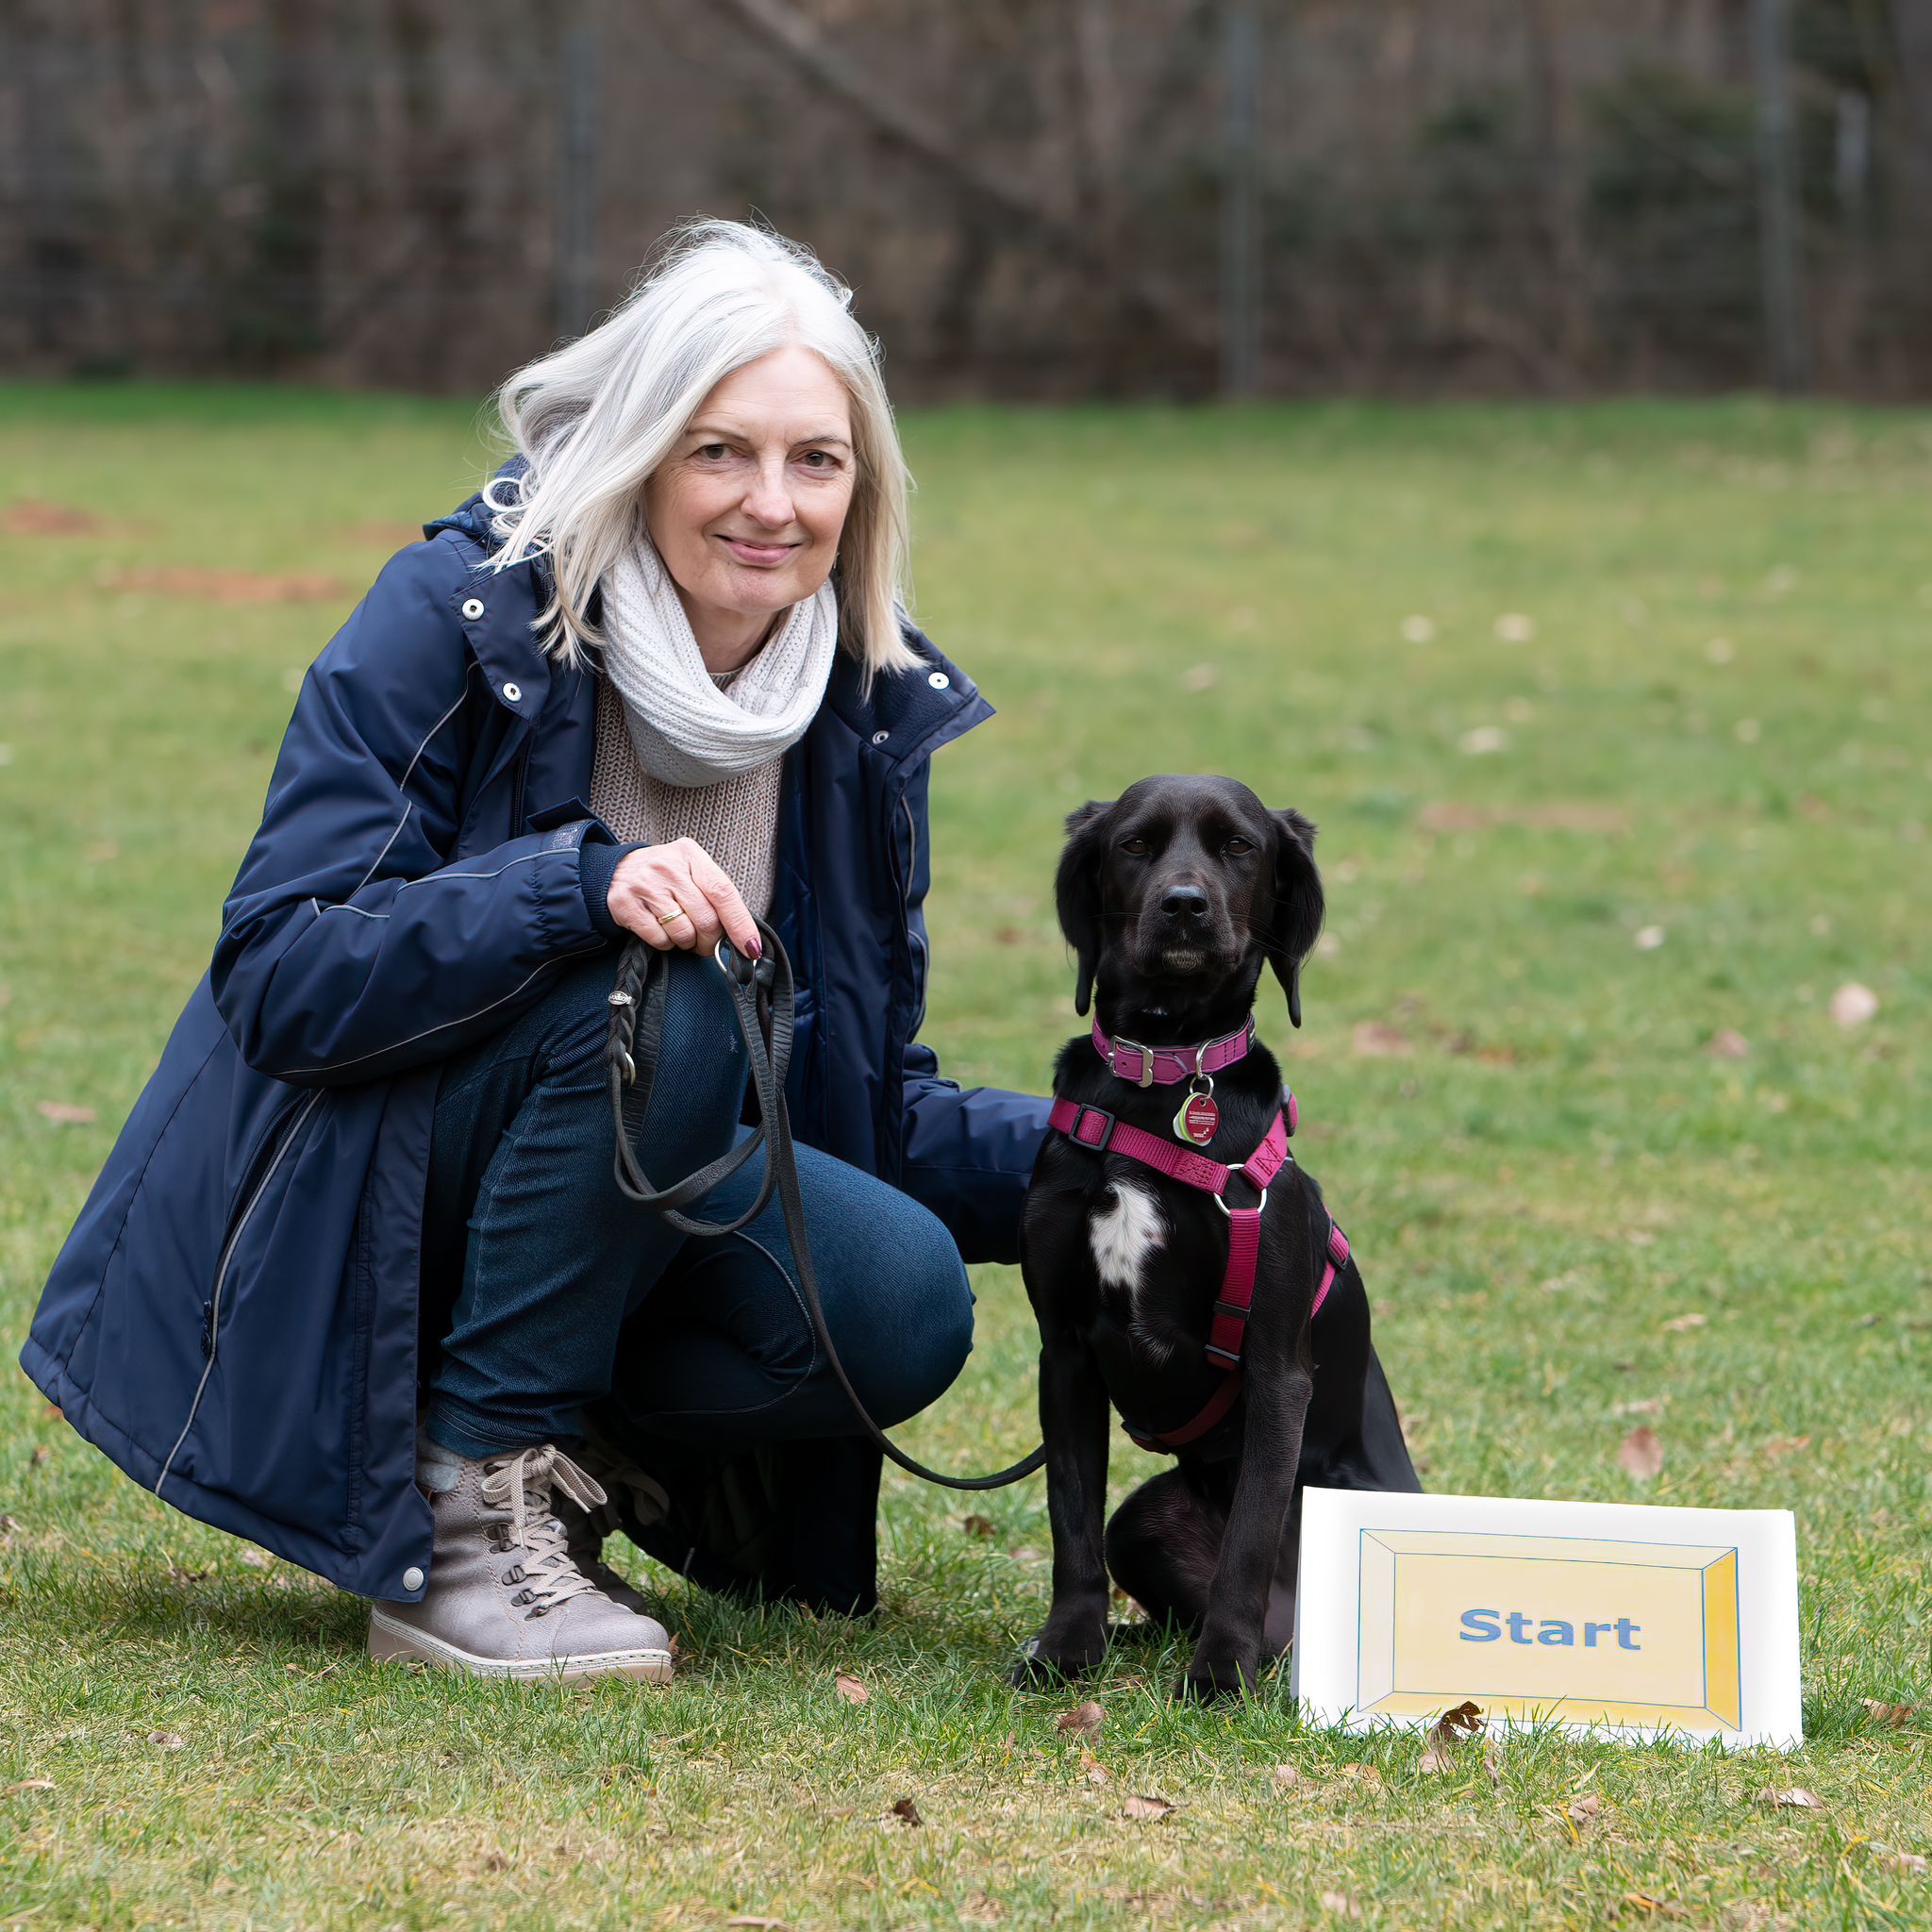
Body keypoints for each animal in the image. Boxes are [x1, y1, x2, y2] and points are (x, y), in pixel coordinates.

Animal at [1012, 776, 1422, 1700]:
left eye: (1239, 846)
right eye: (1134, 844)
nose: (1184, 906)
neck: (1163, 1079)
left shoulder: (1277, 1373)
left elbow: (1249, 1541)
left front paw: (1217, 1679)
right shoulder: (1066, 1355)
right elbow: (1070, 1525)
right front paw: (1067, 1651)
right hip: (1144, 1517)